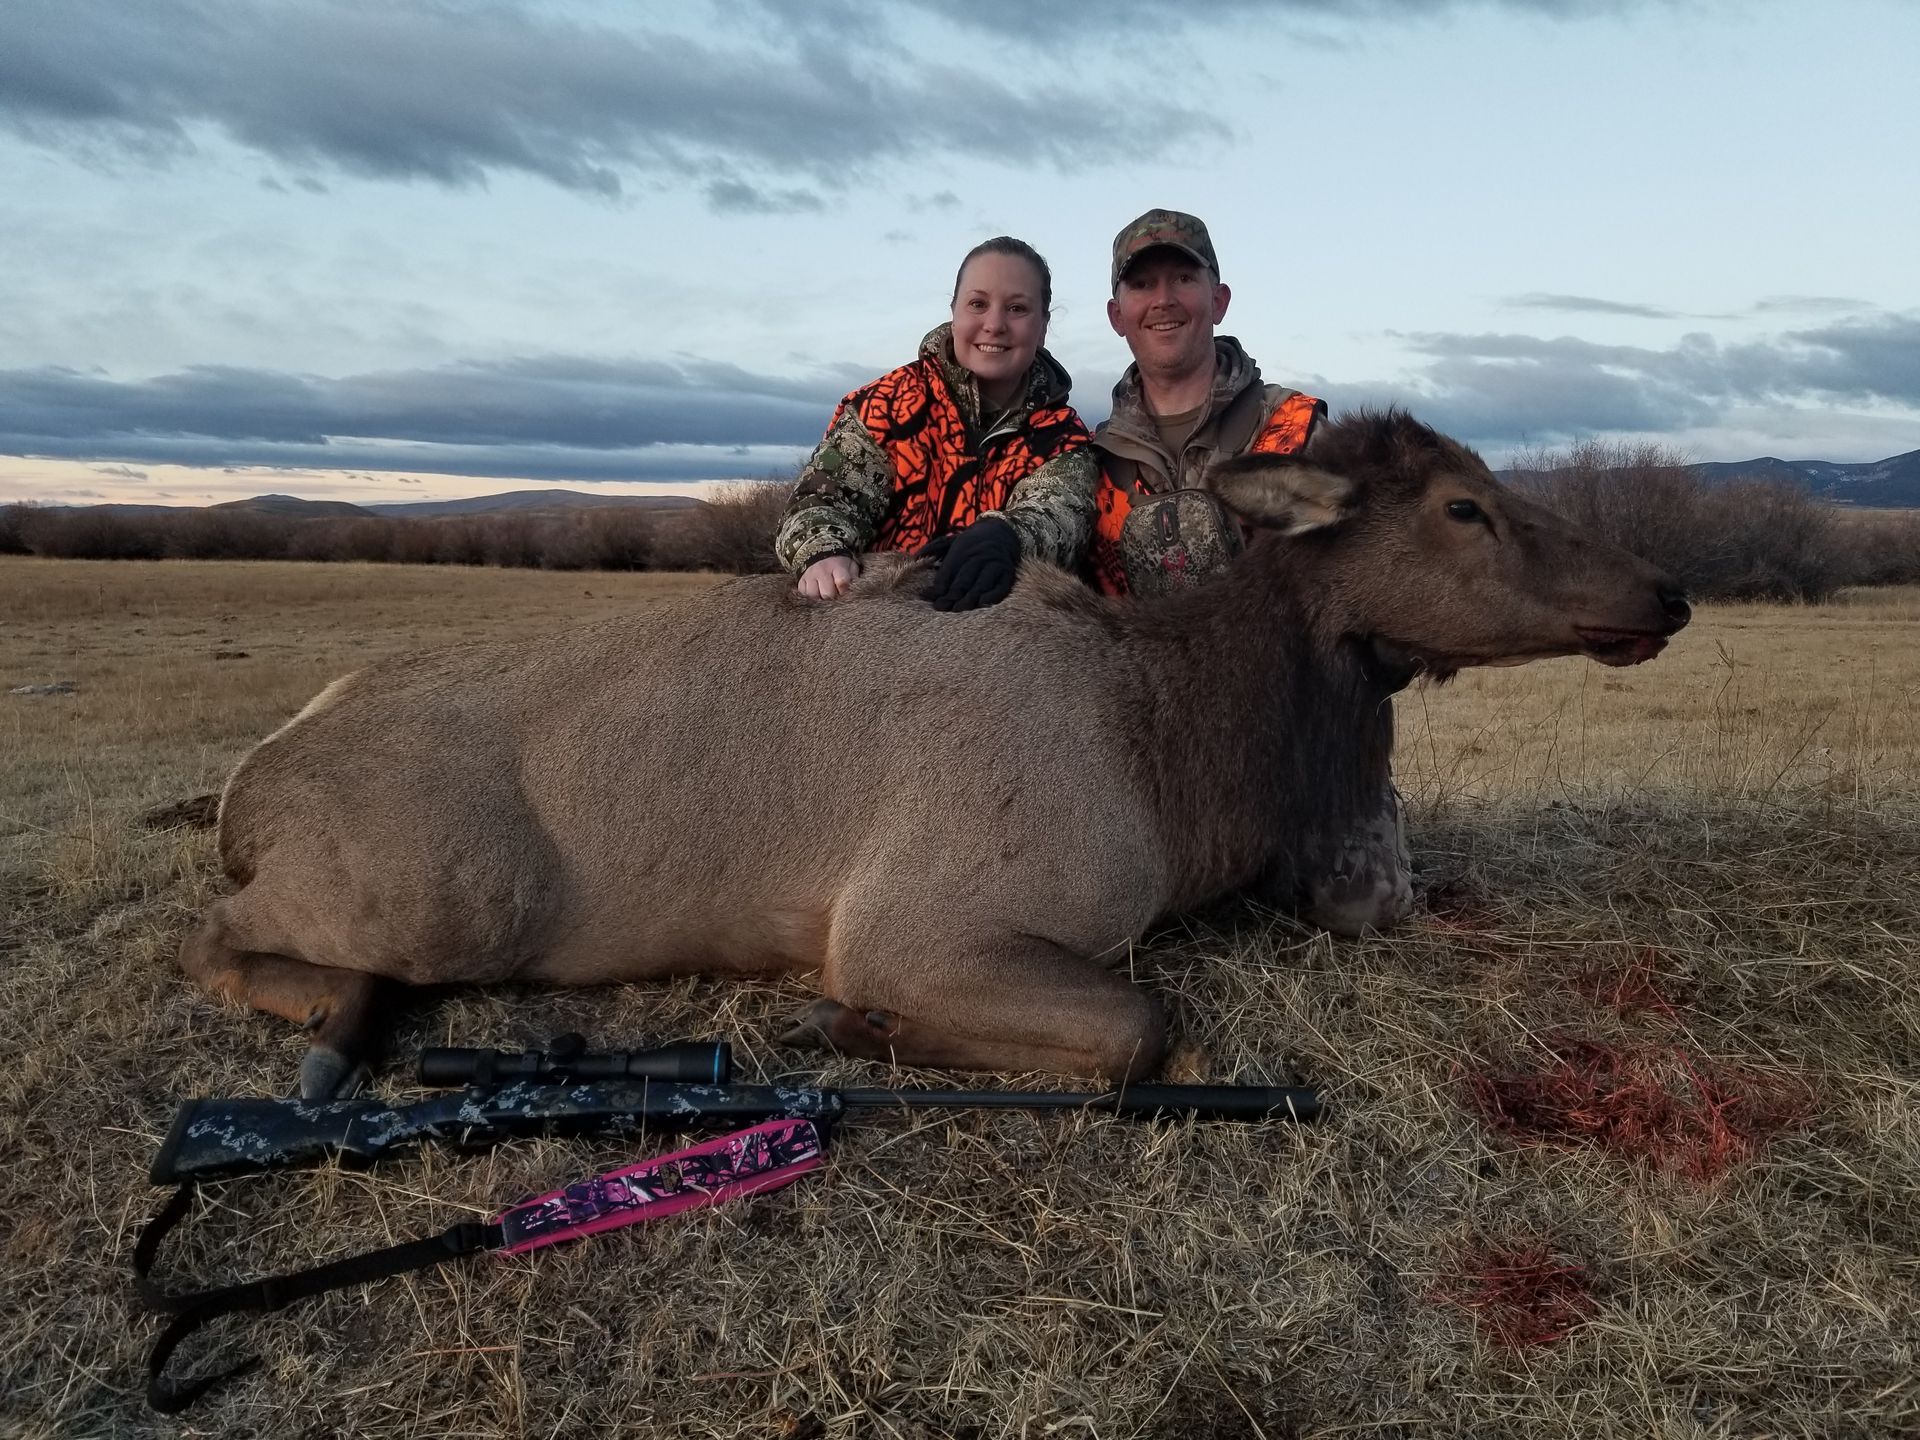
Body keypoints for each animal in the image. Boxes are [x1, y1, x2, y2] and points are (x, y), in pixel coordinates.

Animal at [177, 410, 1691, 1098]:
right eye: (1464, 506)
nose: (1665, 591)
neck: (1173, 755)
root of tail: (252, 782)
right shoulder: (921, 919)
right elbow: (1140, 1026)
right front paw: (844, 1023)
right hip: (451, 890)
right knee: (219, 932)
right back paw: (337, 1015)